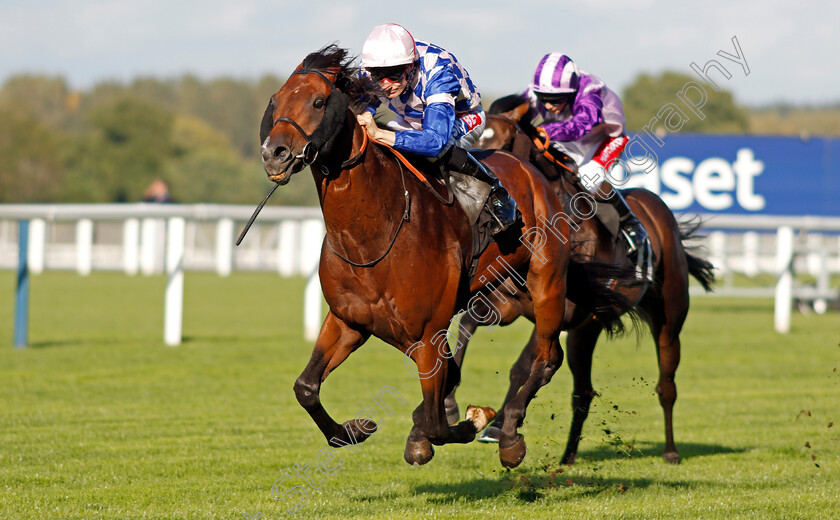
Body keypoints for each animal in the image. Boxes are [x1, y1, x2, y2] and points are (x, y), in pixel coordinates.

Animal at [260, 46, 640, 470]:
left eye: (319, 101)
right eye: (276, 100)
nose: (274, 154)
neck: (373, 234)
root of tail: (532, 173)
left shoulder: (427, 333)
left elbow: (439, 424)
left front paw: (473, 420)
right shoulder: (349, 321)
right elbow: (306, 387)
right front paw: (355, 429)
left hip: (547, 282)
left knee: (547, 357)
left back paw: (509, 433)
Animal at [446, 99, 716, 466]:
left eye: (502, 141)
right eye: (475, 140)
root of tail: (660, 210)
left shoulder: (562, 309)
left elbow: (524, 363)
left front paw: (500, 425)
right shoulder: (506, 302)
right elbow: (469, 325)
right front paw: (456, 403)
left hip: (667, 318)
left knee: (667, 384)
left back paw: (671, 451)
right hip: (586, 331)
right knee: (583, 393)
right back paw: (568, 455)